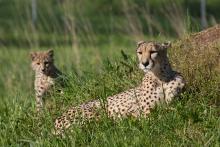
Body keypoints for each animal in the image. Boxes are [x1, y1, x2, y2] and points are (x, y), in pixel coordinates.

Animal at [54, 40, 185, 135]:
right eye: (140, 53)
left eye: (153, 51)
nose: (144, 63)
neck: (160, 77)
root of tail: (56, 121)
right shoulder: (146, 113)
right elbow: (158, 115)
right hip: (95, 114)